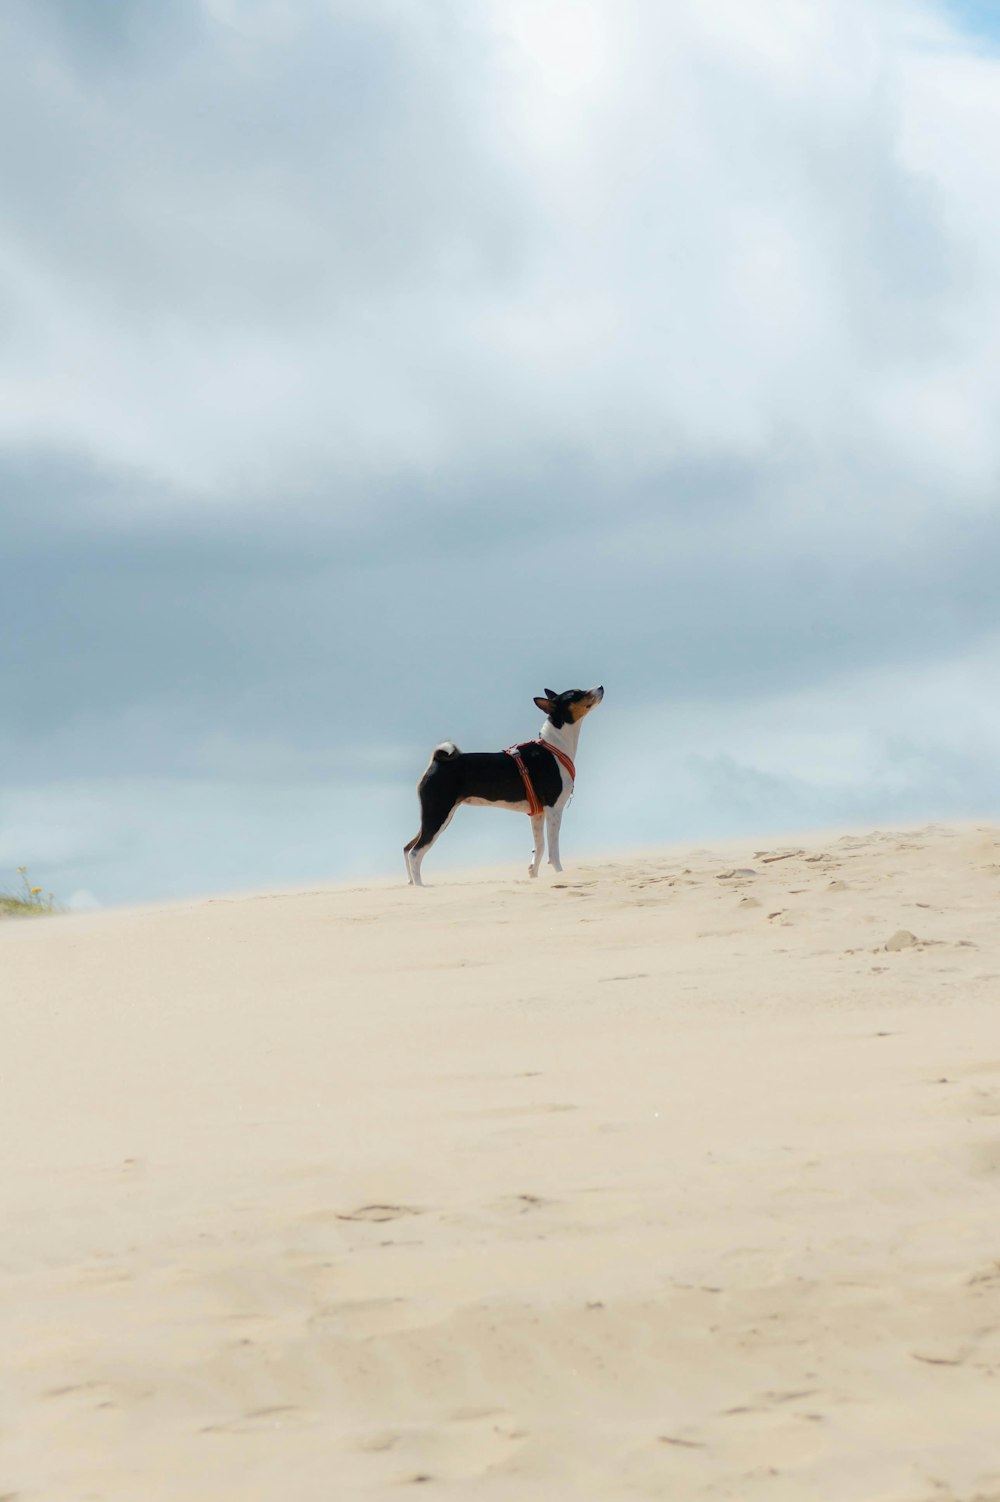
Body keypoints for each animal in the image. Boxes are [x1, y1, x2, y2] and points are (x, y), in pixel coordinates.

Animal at [402, 687, 603, 883]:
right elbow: (553, 852)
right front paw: (560, 874)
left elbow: (539, 848)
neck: (555, 748)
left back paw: (411, 883)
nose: (600, 687)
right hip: (438, 815)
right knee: (415, 853)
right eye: (576, 694)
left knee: (407, 848)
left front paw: (533, 875)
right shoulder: (554, 809)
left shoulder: (537, 814)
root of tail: (437, 761)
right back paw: (420, 887)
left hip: (435, 816)